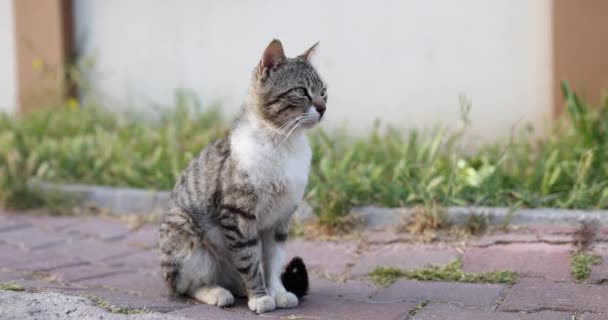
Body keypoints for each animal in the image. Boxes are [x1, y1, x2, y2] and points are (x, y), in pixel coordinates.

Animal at [158, 38, 328, 314]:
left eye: (323, 91)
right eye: (302, 91)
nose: (323, 108)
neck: (283, 143)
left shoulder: (280, 218)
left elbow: (273, 261)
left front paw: (278, 292)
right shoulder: (238, 214)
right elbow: (249, 260)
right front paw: (260, 297)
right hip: (186, 237)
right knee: (186, 286)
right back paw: (218, 292)